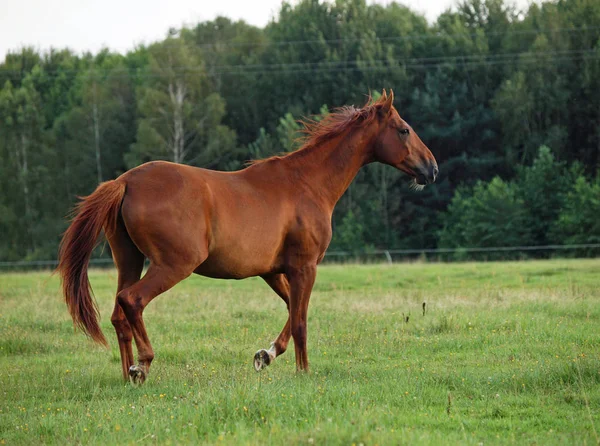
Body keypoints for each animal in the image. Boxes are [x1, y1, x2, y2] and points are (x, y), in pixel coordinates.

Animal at [58, 89, 438, 384]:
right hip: (172, 265)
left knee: (118, 314)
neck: (307, 183)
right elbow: (300, 320)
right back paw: (143, 364)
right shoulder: (305, 267)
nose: (432, 168)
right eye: (404, 130)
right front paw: (303, 372)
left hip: (130, 260)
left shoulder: (272, 271)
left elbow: (292, 311)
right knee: (132, 301)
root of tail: (125, 181)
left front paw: (266, 355)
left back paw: (128, 375)